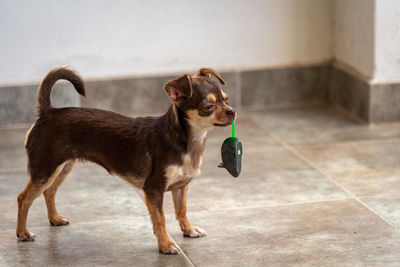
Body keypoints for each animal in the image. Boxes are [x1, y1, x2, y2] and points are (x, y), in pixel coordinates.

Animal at [17, 66, 236, 255]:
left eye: (226, 100)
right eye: (209, 106)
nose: (232, 111)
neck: (189, 142)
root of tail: (47, 112)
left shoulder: (181, 186)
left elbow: (181, 210)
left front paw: (188, 230)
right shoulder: (154, 189)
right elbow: (160, 219)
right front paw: (166, 245)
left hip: (62, 167)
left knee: (49, 191)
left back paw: (54, 219)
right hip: (45, 169)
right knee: (24, 198)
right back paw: (22, 233)